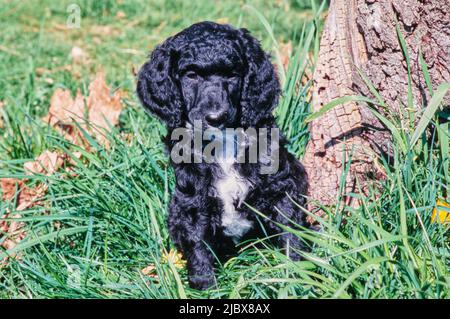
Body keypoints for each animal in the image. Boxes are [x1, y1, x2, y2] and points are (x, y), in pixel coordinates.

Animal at [137, 21, 310, 292]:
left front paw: (294, 276)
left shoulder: (281, 184)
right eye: (192, 76)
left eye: (231, 75)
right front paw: (205, 286)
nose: (215, 117)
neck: (224, 141)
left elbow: (290, 229)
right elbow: (196, 240)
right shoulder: (192, 198)